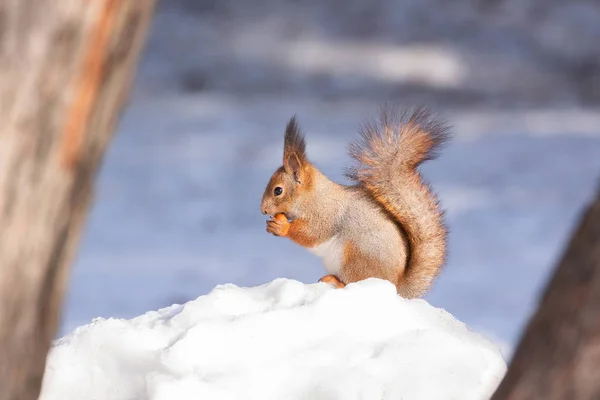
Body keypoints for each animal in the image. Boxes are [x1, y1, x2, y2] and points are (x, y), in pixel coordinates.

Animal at [258, 106, 450, 296]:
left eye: (278, 190)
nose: (263, 210)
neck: (313, 195)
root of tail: (395, 285)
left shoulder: (325, 214)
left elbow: (313, 233)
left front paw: (282, 227)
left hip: (356, 257)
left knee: (353, 280)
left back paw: (337, 282)